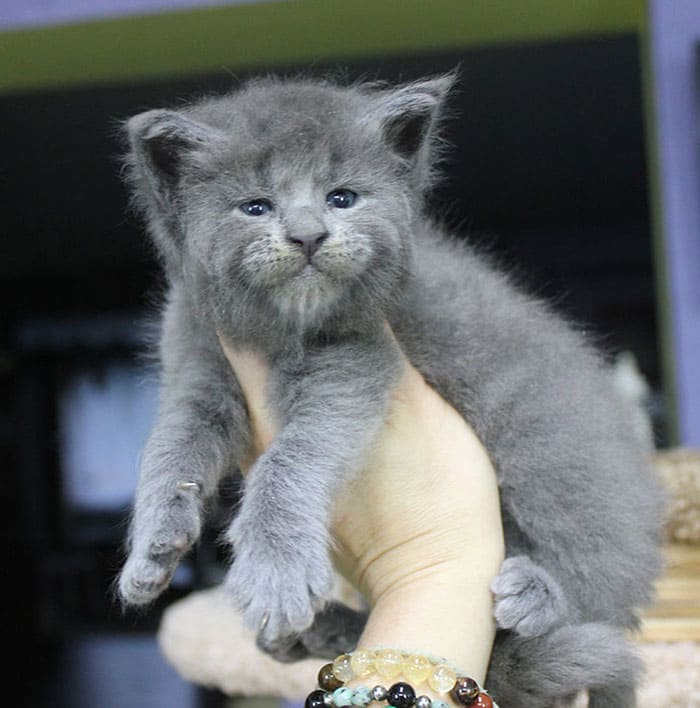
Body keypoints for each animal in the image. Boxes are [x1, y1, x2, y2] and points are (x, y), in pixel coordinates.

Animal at [117, 74, 664, 704]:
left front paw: (276, 572)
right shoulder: (198, 365)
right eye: (255, 206)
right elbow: (170, 445)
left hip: (557, 459)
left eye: (342, 198)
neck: (278, 331)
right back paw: (321, 632)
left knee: (598, 572)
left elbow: (291, 459)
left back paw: (537, 592)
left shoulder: (357, 363)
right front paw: (151, 549)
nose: (308, 235)